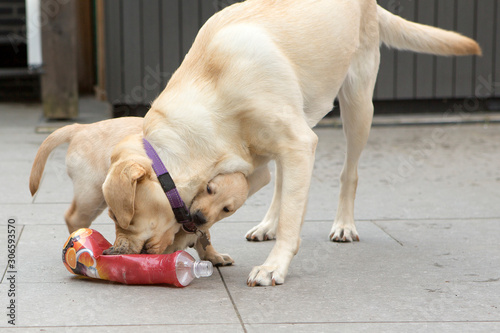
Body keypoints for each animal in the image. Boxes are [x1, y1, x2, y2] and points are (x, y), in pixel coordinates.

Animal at [30, 118, 249, 264]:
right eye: (208, 189)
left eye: (227, 209)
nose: (199, 217)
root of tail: (81, 128)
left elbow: (204, 234)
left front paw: (212, 255)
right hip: (92, 192)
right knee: (73, 217)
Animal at [140, 0, 480, 286]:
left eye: (130, 220)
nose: (136, 251)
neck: (213, 82)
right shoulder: (257, 162)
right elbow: (279, 192)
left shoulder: (298, 144)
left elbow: (291, 219)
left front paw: (273, 267)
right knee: (283, 184)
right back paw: (268, 225)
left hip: (358, 106)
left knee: (349, 173)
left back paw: (344, 225)